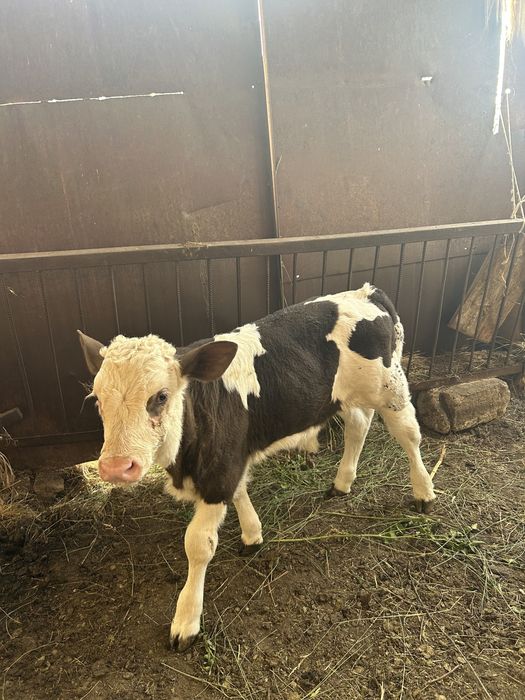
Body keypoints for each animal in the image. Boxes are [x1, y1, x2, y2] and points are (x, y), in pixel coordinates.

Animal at [78, 283, 435, 651]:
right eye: (97, 399)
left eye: (160, 397)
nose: (117, 467)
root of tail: (367, 292)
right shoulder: (231, 459)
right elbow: (240, 492)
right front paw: (253, 534)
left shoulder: (218, 472)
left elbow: (198, 544)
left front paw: (186, 621)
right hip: (346, 396)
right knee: (358, 425)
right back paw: (342, 482)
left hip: (391, 389)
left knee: (409, 435)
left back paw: (423, 492)